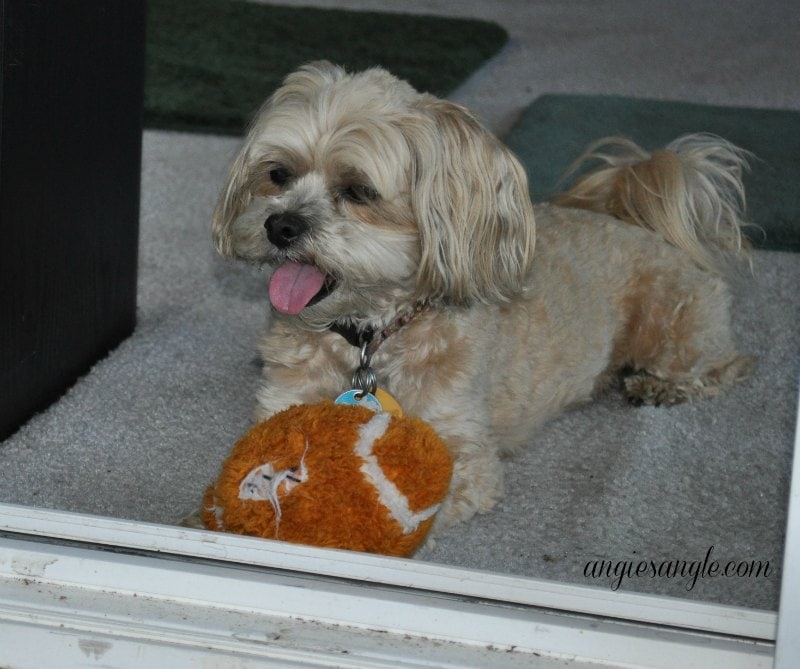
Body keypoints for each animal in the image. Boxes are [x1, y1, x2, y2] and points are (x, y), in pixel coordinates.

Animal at [203, 61, 752, 528]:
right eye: (278, 174)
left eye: (358, 190)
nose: (280, 225)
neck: (371, 335)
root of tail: (638, 222)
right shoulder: (279, 408)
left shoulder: (461, 452)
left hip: (673, 329)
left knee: (724, 367)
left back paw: (662, 387)